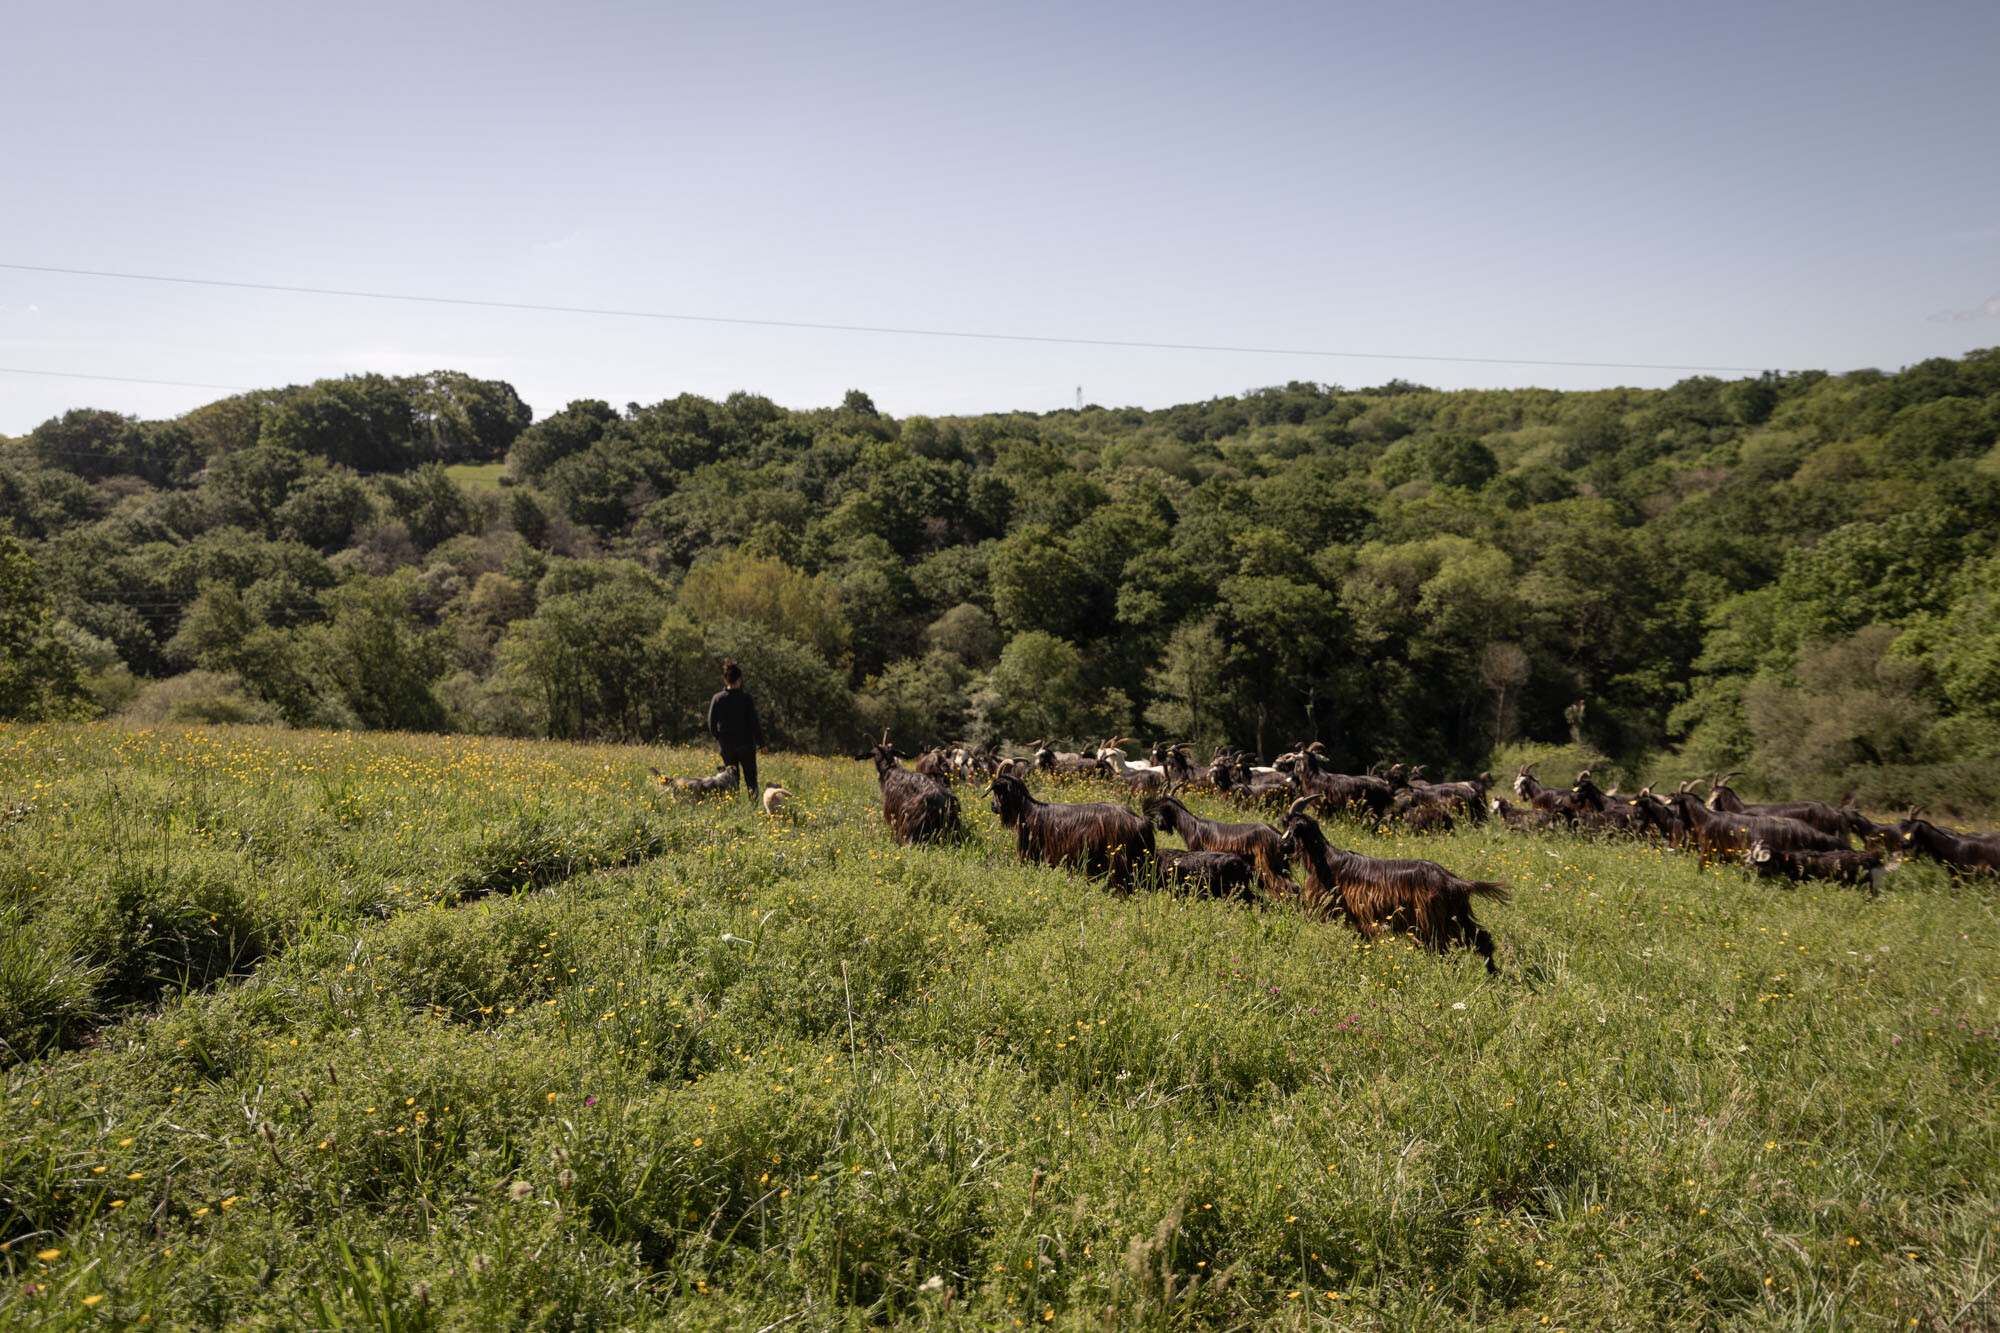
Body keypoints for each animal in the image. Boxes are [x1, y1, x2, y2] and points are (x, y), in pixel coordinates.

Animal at [1272, 792, 1504, 972]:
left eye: (1288, 826)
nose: (1280, 845)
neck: (1325, 861)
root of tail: (1453, 881)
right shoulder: (1357, 918)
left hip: (1433, 922)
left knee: (1447, 951)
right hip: (1455, 916)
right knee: (1481, 939)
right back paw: (1493, 977)